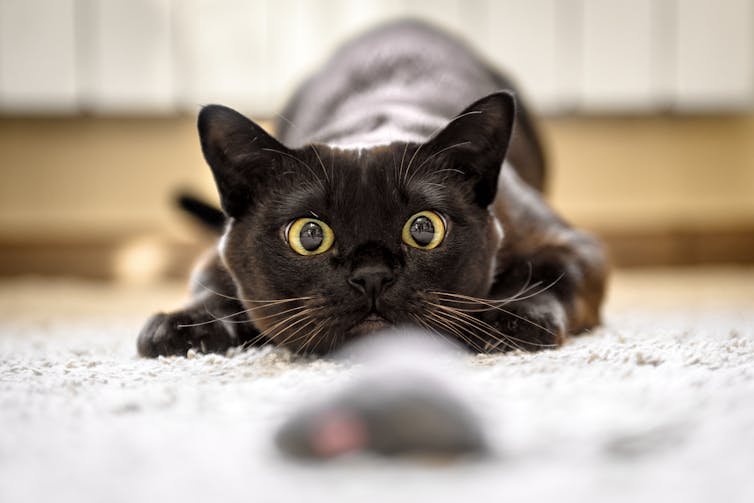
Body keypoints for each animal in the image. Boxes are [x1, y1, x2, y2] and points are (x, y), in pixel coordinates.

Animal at [137, 20, 604, 358]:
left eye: (424, 229)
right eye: (309, 235)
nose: (372, 276)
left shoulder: (570, 244)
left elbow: (545, 277)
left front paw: (508, 319)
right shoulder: (215, 255)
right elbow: (208, 286)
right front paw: (179, 328)